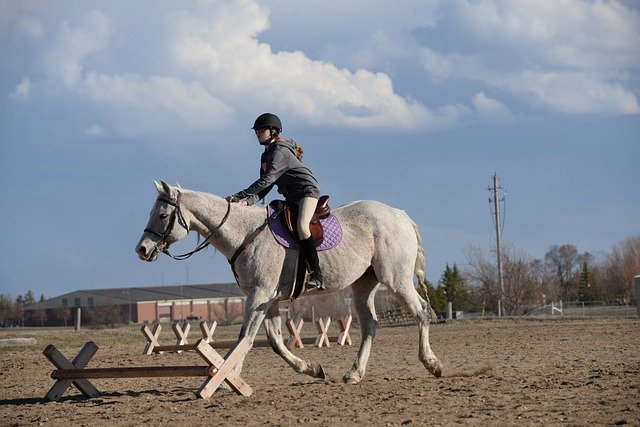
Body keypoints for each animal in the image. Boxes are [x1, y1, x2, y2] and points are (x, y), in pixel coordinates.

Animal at [136, 182, 442, 386]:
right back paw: (354, 373)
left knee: (421, 312)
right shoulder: (267, 299)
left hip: (396, 279)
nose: (142, 250)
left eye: (162, 215)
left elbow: (244, 337)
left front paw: (226, 375)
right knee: (370, 326)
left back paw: (432, 364)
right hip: (363, 285)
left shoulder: (259, 295)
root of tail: (399, 214)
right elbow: (272, 341)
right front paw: (311, 368)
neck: (245, 234)